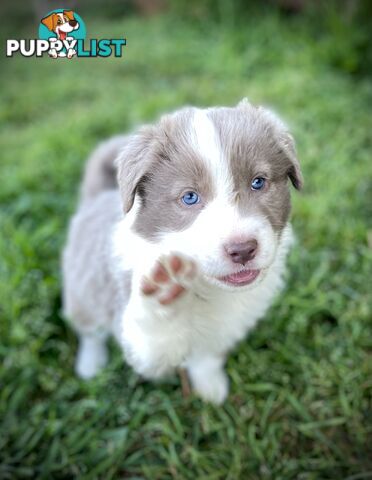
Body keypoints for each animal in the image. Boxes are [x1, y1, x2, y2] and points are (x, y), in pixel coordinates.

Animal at [63, 99, 302, 404]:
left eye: (258, 182)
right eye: (189, 197)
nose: (242, 249)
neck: (208, 290)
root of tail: (96, 196)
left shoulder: (224, 329)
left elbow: (207, 358)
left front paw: (210, 388)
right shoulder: (142, 345)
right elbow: (153, 338)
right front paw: (164, 286)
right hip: (83, 289)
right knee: (89, 332)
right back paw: (90, 364)